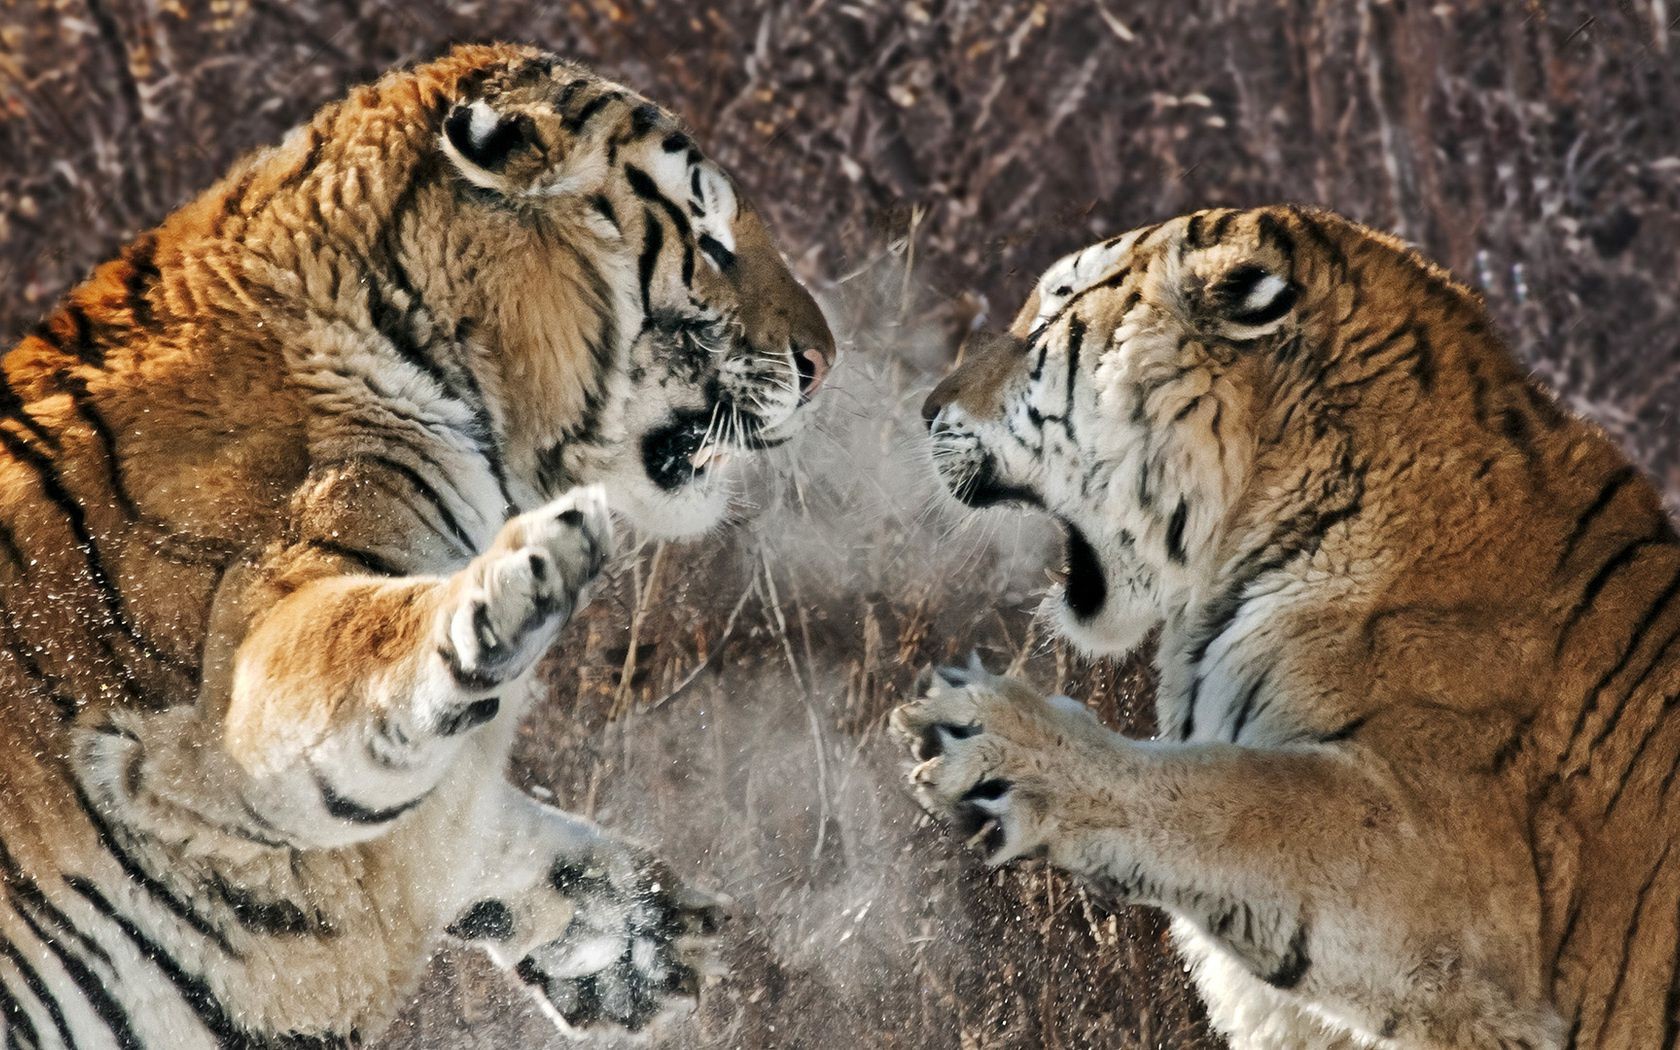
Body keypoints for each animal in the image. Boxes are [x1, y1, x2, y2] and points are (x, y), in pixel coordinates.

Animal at [0, 43, 836, 1048]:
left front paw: (645, 932)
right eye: (709, 241)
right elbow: (364, 664)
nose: (824, 364)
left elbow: (481, 825)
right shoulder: (231, 703)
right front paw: (519, 581)